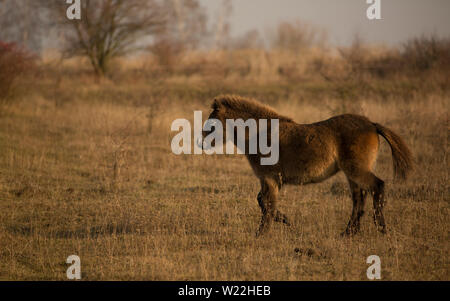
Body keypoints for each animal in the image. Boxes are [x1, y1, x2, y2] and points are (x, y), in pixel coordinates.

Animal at [202, 95, 414, 236]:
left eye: (212, 124)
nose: (200, 142)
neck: (260, 133)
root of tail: (372, 124)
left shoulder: (269, 178)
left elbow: (267, 204)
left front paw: (261, 233)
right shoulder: (271, 180)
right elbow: (262, 201)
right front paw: (285, 220)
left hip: (356, 170)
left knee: (377, 187)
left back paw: (381, 228)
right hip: (351, 173)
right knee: (359, 198)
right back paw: (349, 232)